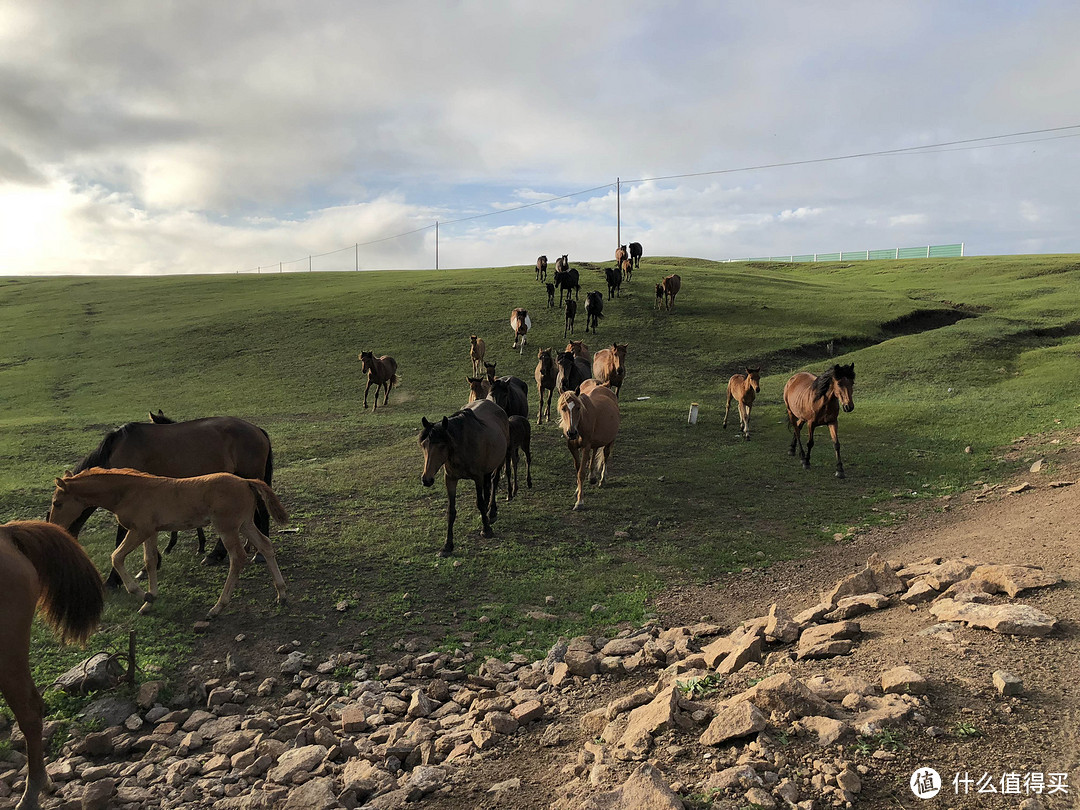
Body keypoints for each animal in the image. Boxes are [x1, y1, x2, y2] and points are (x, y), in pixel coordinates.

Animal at [49, 466, 289, 617]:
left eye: (57, 503)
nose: (55, 526)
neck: (128, 491)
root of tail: (245, 482)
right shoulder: (151, 532)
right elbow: (150, 561)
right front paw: (149, 601)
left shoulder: (139, 530)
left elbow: (116, 557)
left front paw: (141, 593)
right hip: (245, 524)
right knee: (265, 546)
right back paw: (282, 594)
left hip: (227, 528)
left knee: (238, 558)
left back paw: (218, 607)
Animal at [68, 414, 274, 578]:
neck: (115, 452)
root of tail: (257, 429)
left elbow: (121, 537)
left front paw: (114, 579)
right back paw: (219, 554)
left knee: (262, 512)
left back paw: (257, 554)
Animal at [416, 401, 509, 557]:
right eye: (424, 445)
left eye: (442, 445)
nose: (426, 479)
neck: (463, 446)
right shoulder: (450, 479)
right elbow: (451, 511)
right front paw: (447, 546)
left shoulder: (477, 477)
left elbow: (480, 503)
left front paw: (486, 530)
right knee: (487, 487)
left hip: (499, 461)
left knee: (493, 482)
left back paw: (491, 512)